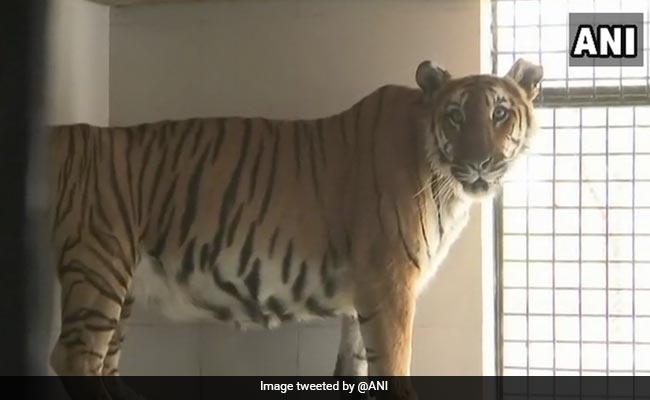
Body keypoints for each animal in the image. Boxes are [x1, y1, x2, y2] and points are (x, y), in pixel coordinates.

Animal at [47, 58, 542, 398]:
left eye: (500, 114)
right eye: (455, 116)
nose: (479, 162)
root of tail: (70, 131)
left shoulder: (362, 296)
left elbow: (355, 370)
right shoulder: (390, 284)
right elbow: (394, 370)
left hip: (122, 285)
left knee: (103, 363)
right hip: (98, 266)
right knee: (74, 357)